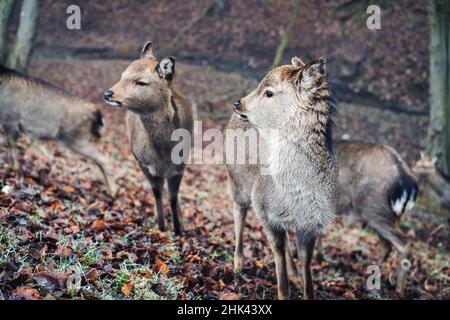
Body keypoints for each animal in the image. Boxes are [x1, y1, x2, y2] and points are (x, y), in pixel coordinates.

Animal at [0, 64, 118, 195]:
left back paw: (113, 192)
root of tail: (97, 114)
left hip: (76, 138)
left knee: (104, 159)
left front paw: (15, 175)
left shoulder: (11, 119)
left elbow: (12, 150)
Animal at [103, 41, 193, 235]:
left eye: (141, 82)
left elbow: (173, 198)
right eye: (122, 75)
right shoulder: (144, 165)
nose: (107, 94)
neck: (163, 155)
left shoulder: (179, 168)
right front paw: (161, 228)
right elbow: (157, 194)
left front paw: (178, 231)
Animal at [227, 56, 340, 298]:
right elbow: (278, 256)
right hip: (236, 181)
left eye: (269, 92)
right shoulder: (264, 211)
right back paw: (238, 264)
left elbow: (306, 261)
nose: (238, 103)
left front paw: (304, 286)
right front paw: (284, 290)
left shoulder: (313, 222)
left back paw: (295, 275)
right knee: (239, 211)